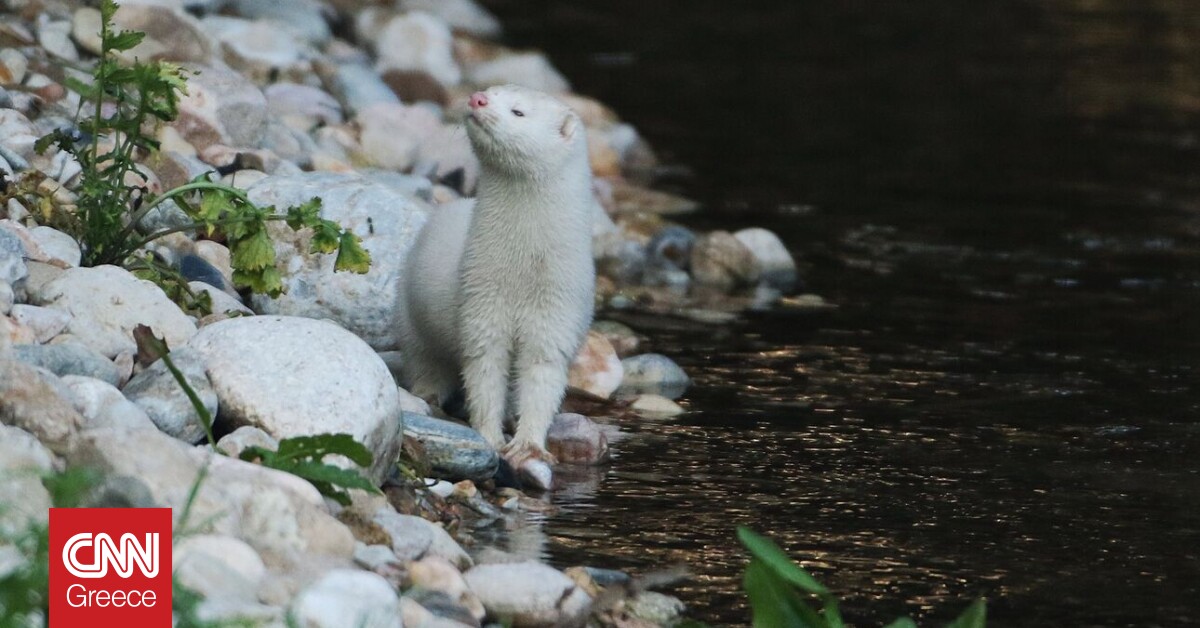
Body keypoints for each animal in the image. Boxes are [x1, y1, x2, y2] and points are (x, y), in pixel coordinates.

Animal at [398, 84, 595, 488]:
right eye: (491, 90)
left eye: (519, 111)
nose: (477, 99)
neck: (521, 273)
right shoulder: (480, 302)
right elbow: (484, 372)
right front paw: (489, 437)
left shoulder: (556, 316)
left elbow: (542, 381)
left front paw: (528, 447)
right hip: (411, 320)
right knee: (425, 363)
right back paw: (429, 396)